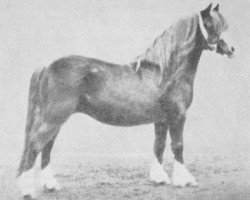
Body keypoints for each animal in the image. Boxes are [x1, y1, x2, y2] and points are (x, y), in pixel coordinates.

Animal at [16, 3, 233, 200]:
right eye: (212, 25)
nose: (232, 48)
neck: (166, 72)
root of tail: (47, 66)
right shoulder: (177, 116)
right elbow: (178, 145)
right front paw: (185, 180)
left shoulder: (161, 119)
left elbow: (159, 145)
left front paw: (159, 178)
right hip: (54, 117)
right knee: (35, 144)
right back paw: (27, 191)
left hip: (56, 119)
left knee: (46, 147)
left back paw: (50, 185)